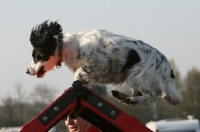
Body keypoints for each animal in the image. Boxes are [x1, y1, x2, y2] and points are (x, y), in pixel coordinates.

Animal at [26, 20, 183, 105]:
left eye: (36, 56)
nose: (27, 71)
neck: (72, 45)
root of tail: (168, 71)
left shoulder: (101, 64)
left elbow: (79, 72)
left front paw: (77, 82)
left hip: (136, 75)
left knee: (151, 96)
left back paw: (131, 100)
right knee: (141, 94)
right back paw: (121, 96)